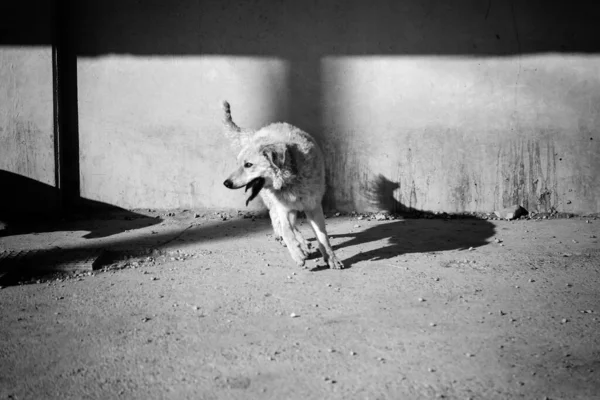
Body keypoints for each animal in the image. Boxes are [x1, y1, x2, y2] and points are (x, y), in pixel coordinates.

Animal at [221, 100, 344, 270]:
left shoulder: (313, 207)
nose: (226, 183)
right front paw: (297, 253)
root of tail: (258, 132)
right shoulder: (283, 207)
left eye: (248, 165)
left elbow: (323, 236)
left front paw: (331, 258)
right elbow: (286, 230)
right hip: (276, 203)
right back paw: (298, 244)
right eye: (239, 164)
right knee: (278, 221)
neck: (291, 178)